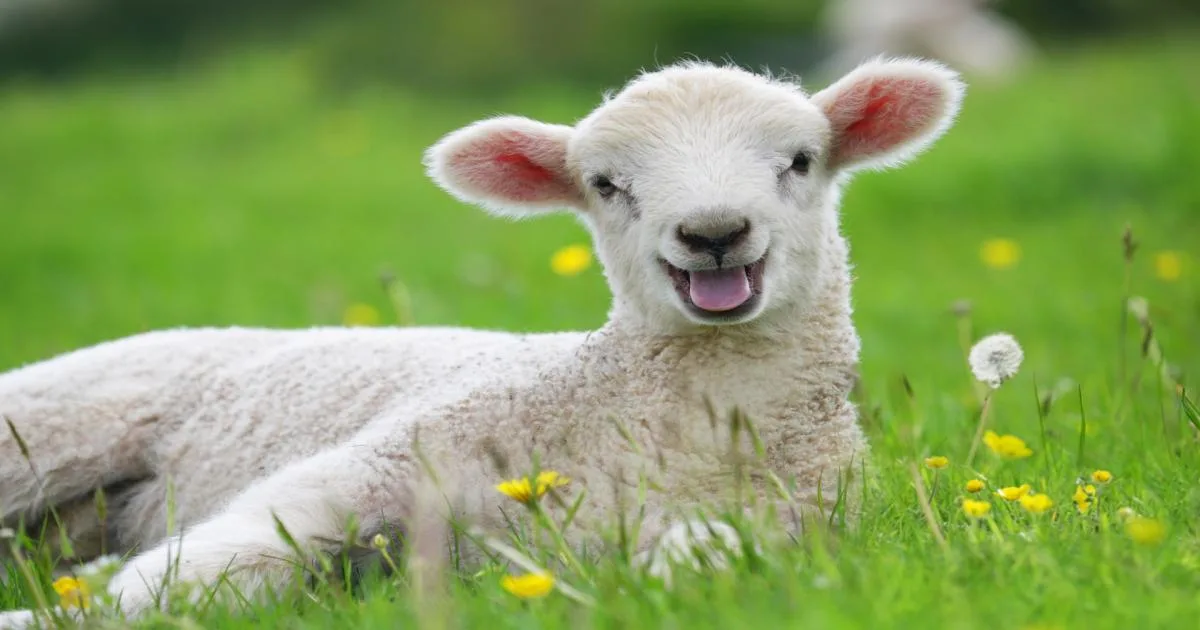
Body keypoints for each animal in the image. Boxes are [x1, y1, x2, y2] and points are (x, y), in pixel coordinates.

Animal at [0, 56, 964, 625]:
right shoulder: (382, 459)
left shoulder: (792, 520)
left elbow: (703, 560)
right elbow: (204, 566)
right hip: (47, 428)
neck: (657, 424)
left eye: (800, 160)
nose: (714, 232)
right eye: (605, 184)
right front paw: (65, 613)